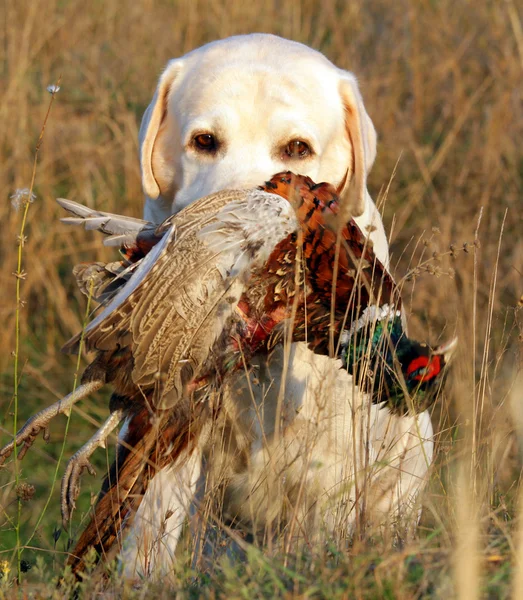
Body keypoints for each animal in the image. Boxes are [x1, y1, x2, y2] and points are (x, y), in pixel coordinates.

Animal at [119, 34, 434, 580]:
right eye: (204, 141)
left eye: (297, 149)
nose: (245, 226)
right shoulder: (168, 438)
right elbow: (145, 542)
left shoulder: (331, 468)